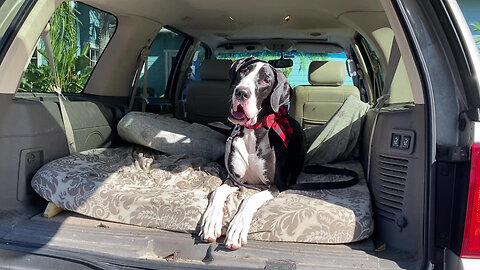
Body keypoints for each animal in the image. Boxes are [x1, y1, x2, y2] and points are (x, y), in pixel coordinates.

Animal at [200, 57, 306, 251]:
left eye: (265, 81)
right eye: (244, 71)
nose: (241, 92)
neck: (251, 131)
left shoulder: (275, 186)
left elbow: (250, 199)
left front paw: (237, 228)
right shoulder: (235, 179)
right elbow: (218, 191)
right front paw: (211, 221)